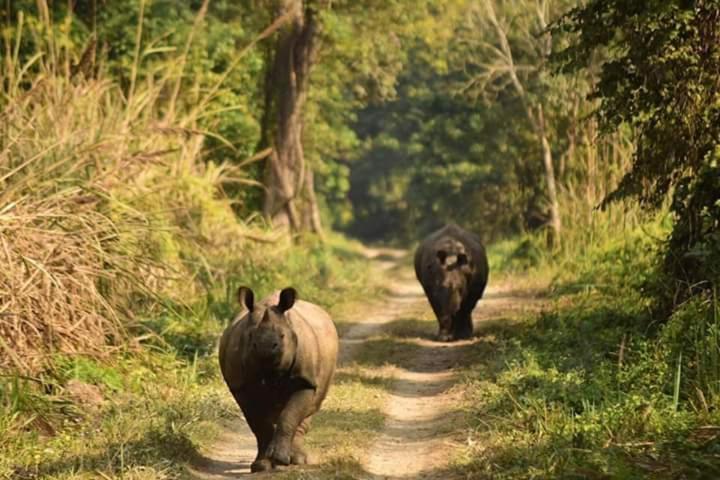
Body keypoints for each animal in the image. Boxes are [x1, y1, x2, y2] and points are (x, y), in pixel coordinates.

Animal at [218, 286, 338, 470]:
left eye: (282, 336)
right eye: (250, 336)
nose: (265, 348)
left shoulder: (305, 380)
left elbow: (290, 416)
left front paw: (280, 459)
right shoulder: (240, 385)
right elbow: (258, 423)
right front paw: (261, 465)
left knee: (310, 407)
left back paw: (297, 460)